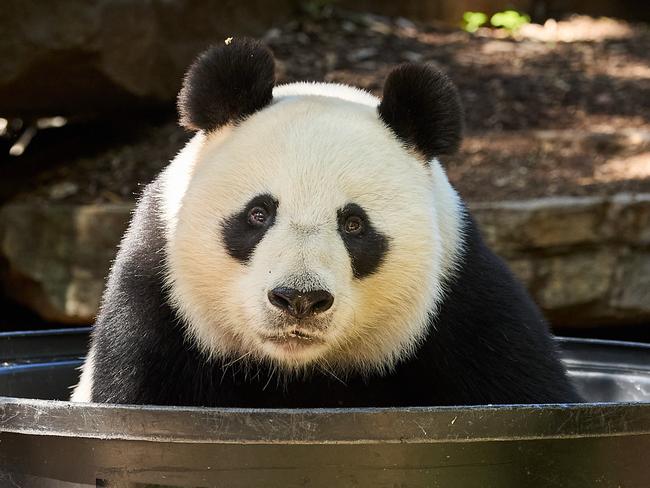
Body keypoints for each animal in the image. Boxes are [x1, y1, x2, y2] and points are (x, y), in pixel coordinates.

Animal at [69, 38, 576, 406]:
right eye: (258, 214)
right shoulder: (157, 303)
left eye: (353, 225)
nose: (299, 300)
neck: (295, 370)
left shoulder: (465, 301)